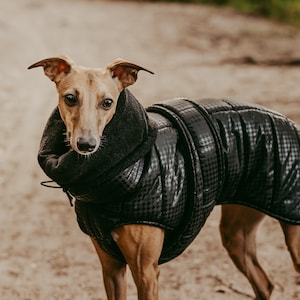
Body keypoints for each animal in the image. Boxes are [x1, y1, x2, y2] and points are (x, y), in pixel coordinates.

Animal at [27, 56, 298, 300]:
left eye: (107, 102)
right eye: (70, 98)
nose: (86, 145)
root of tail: (290, 122)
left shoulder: (146, 272)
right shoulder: (111, 268)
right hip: (237, 233)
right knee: (265, 284)